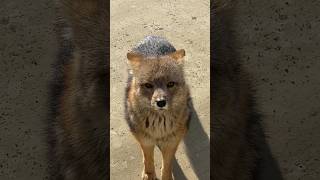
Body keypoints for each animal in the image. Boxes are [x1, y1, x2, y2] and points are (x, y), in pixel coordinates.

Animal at [124, 35, 190, 180]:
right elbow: (148, 161)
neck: (159, 126)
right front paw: (148, 174)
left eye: (170, 84)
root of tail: (153, 36)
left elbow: (167, 165)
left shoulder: (171, 142)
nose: (161, 102)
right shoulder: (146, 141)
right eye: (148, 85)